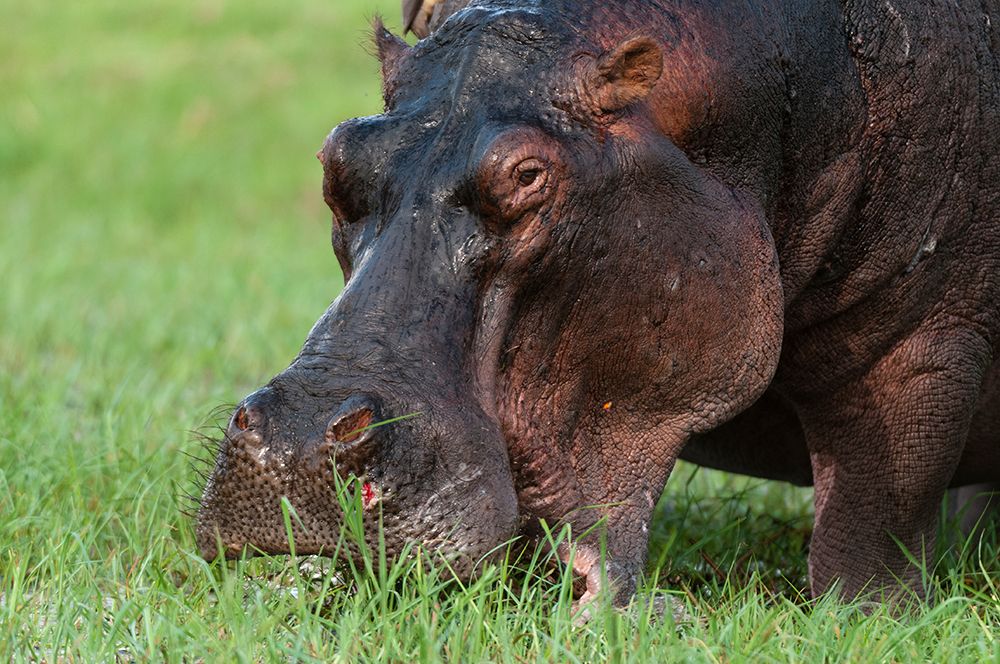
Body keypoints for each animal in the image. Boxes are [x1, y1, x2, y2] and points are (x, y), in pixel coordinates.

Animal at [197, 0, 1000, 606]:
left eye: (527, 175)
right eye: (336, 157)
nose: (296, 441)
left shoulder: (915, 353)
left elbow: (870, 532)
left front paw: (866, 620)